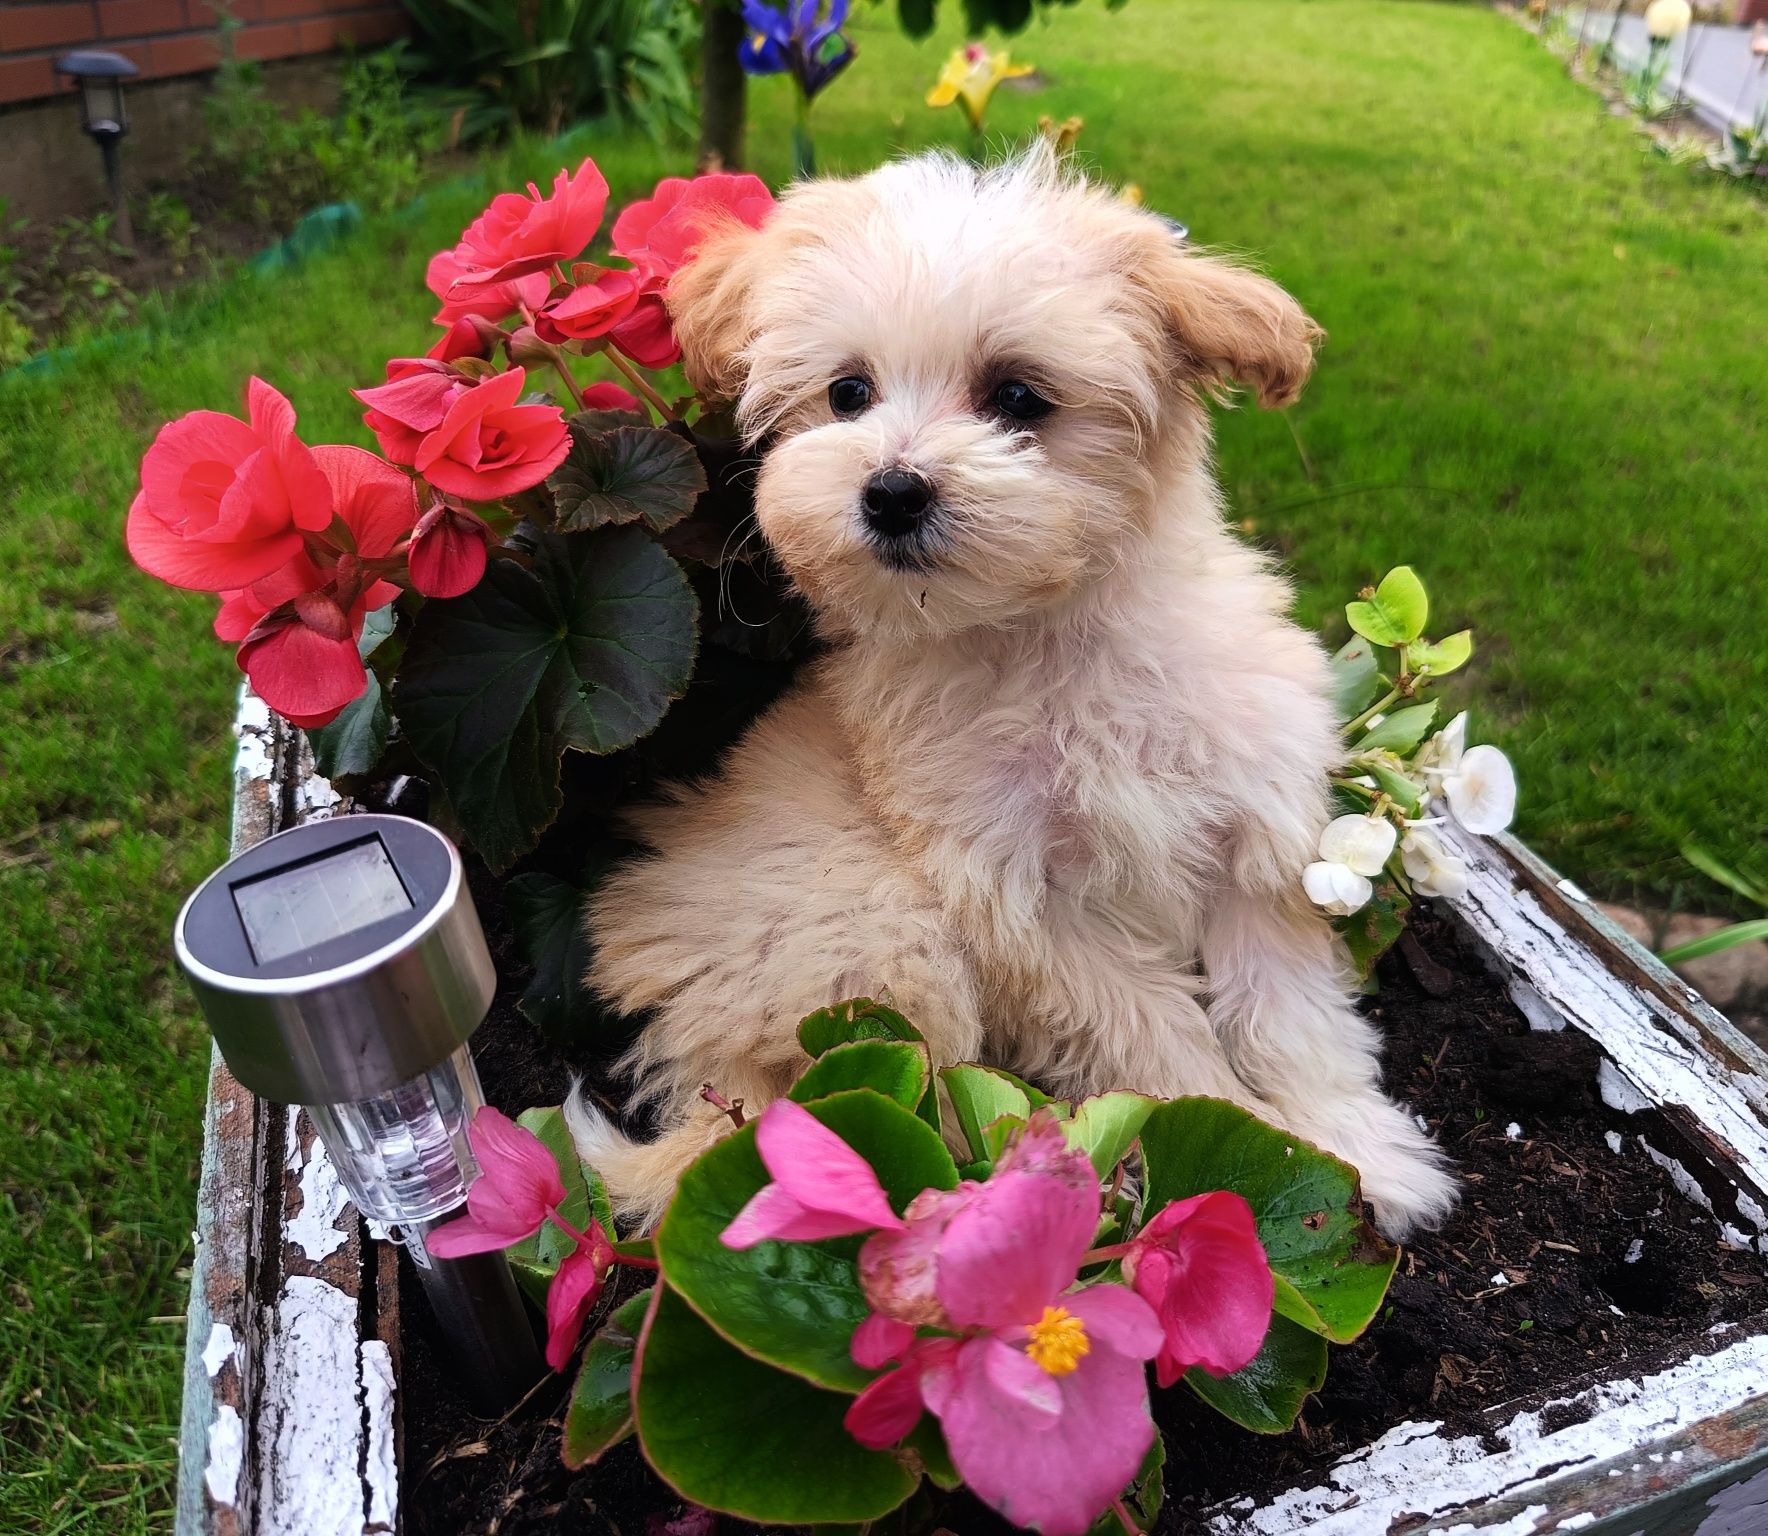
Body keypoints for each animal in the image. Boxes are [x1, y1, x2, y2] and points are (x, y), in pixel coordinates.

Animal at [572, 146, 1456, 1237]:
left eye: (1020, 398)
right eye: (848, 392)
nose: (891, 491)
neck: (1046, 637)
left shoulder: (1248, 835)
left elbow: (1287, 1010)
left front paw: (1350, 1149)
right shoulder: (1024, 906)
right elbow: (1155, 1035)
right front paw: (1238, 1150)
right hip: (880, 941)